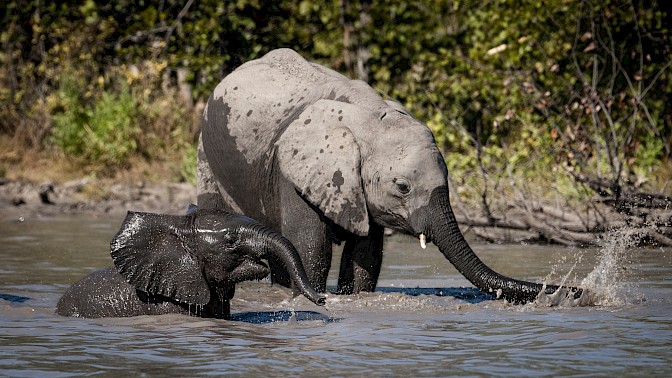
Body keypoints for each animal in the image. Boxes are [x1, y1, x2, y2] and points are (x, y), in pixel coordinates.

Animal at [197, 48, 580, 304]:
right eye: (402, 187)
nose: (577, 290)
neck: (368, 117)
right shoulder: (294, 174)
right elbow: (311, 251)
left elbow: (366, 257)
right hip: (207, 154)